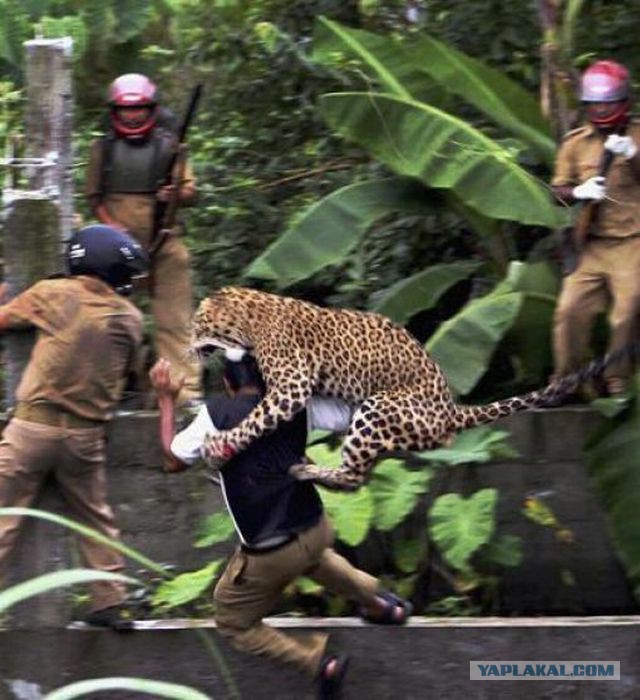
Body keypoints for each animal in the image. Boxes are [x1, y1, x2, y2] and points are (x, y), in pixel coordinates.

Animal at [191, 284, 624, 492]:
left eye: (197, 325)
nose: (188, 346)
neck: (248, 319)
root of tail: (451, 408)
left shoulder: (291, 386)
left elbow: (255, 418)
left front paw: (218, 445)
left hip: (378, 406)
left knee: (354, 477)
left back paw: (306, 469)